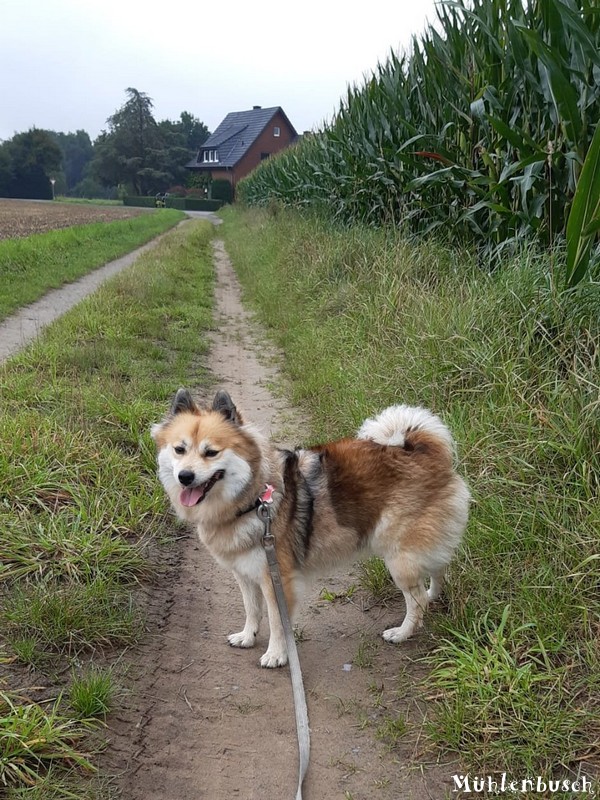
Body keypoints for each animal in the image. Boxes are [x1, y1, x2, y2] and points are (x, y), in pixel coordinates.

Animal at [152, 388, 472, 668]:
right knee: (438, 570)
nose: (185, 476)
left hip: (399, 558)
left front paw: (276, 655)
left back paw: (403, 632)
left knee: (416, 599)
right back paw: (433, 595)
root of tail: (421, 449)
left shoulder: (276, 578)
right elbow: (252, 610)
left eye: (211, 452)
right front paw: (247, 636)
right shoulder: (244, 574)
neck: (253, 498)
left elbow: (277, 622)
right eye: (179, 450)